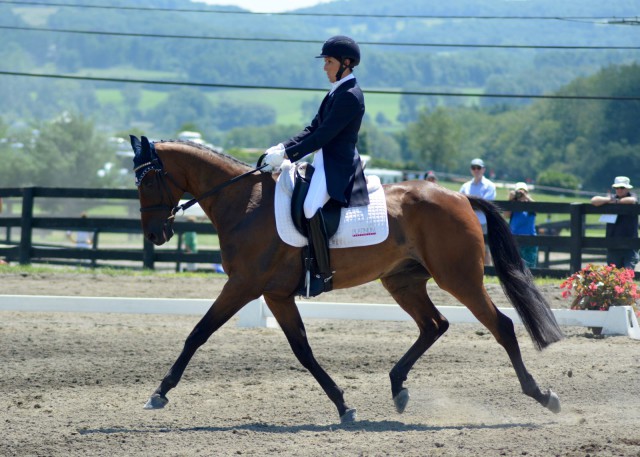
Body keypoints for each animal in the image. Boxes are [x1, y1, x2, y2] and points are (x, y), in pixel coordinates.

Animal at [132, 134, 564, 420]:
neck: (245, 203)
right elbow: (303, 350)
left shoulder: (243, 285)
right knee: (434, 324)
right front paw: (343, 404)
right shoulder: (276, 295)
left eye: (147, 179)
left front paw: (158, 393)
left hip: (459, 278)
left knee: (501, 325)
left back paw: (542, 395)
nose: (154, 235)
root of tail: (459, 196)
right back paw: (398, 386)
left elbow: (198, 333)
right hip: (403, 281)